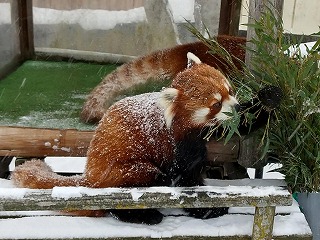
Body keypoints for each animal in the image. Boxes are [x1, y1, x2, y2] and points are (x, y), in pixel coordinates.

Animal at [11, 52, 240, 225]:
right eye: (216, 104)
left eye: (229, 90)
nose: (237, 107)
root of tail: (90, 176)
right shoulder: (176, 146)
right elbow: (184, 178)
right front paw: (208, 209)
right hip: (122, 171)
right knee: (140, 183)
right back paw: (145, 214)